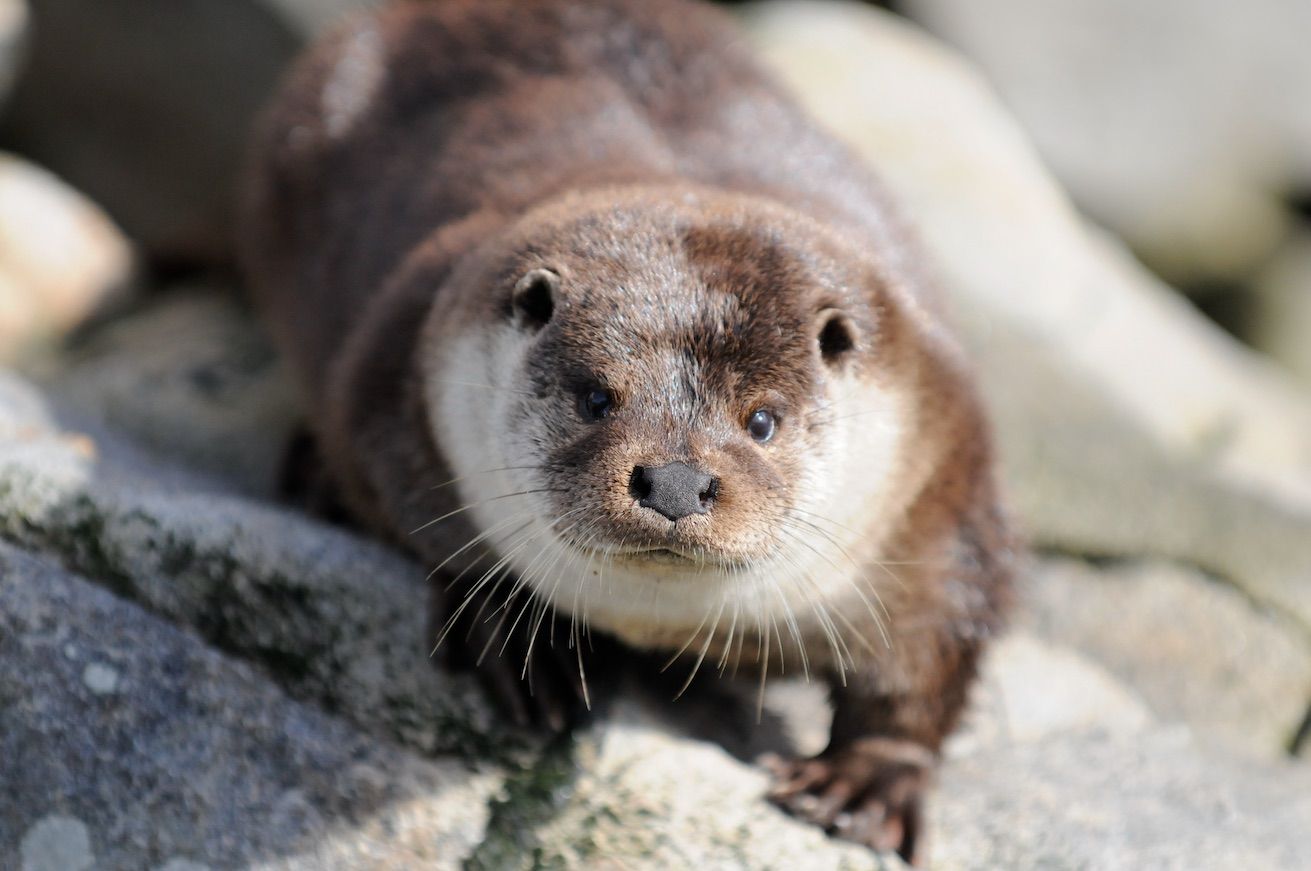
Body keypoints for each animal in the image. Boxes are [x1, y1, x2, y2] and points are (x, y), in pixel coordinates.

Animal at [239, 0, 1014, 862]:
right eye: (594, 398)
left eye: (762, 420)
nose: (675, 480)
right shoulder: (393, 371)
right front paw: (522, 634)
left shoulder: (939, 473)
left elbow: (932, 648)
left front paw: (867, 778)